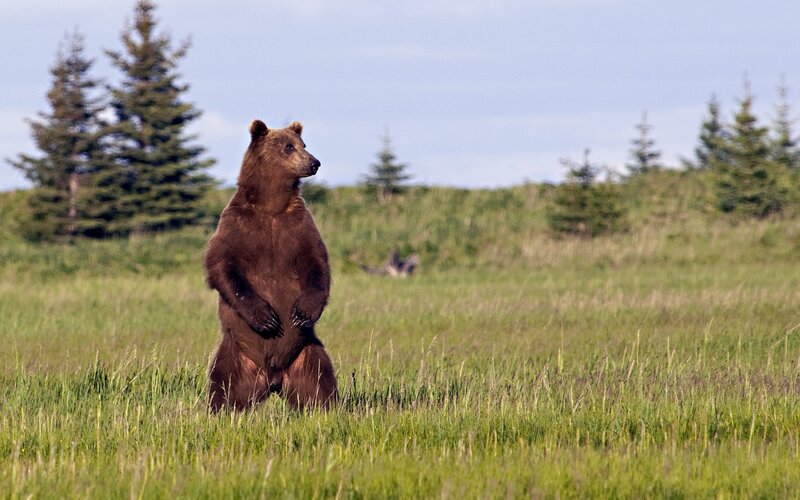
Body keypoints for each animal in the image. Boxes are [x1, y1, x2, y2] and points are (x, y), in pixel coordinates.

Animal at [204, 119, 337, 412]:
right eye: (288, 147)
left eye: (303, 144)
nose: (315, 162)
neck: (271, 205)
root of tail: (273, 378)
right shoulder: (238, 224)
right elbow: (222, 266)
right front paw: (266, 318)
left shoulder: (298, 225)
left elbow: (317, 264)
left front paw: (302, 313)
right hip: (235, 354)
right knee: (222, 383)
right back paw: (219, 409)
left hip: (307, 353)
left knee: (321, 381)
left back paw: (329, 407)